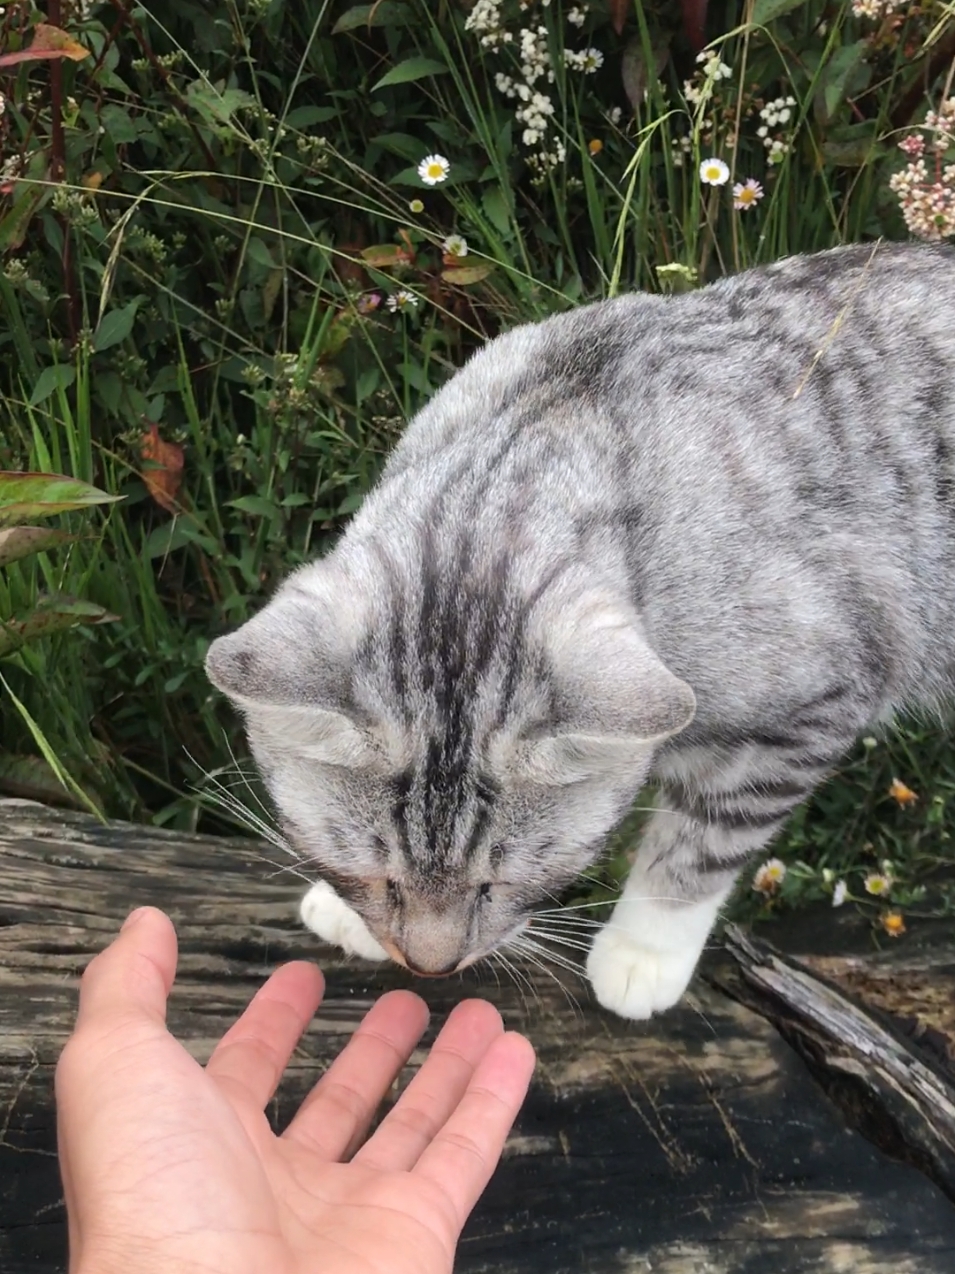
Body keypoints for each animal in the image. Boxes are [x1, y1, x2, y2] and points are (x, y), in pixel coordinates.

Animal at [206, 243, 955, 1024]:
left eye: (498, 885)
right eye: (378, 876)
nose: (431, 966)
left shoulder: (813, 705)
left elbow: (702, 843)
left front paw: (644, 951)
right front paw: (349, 914)